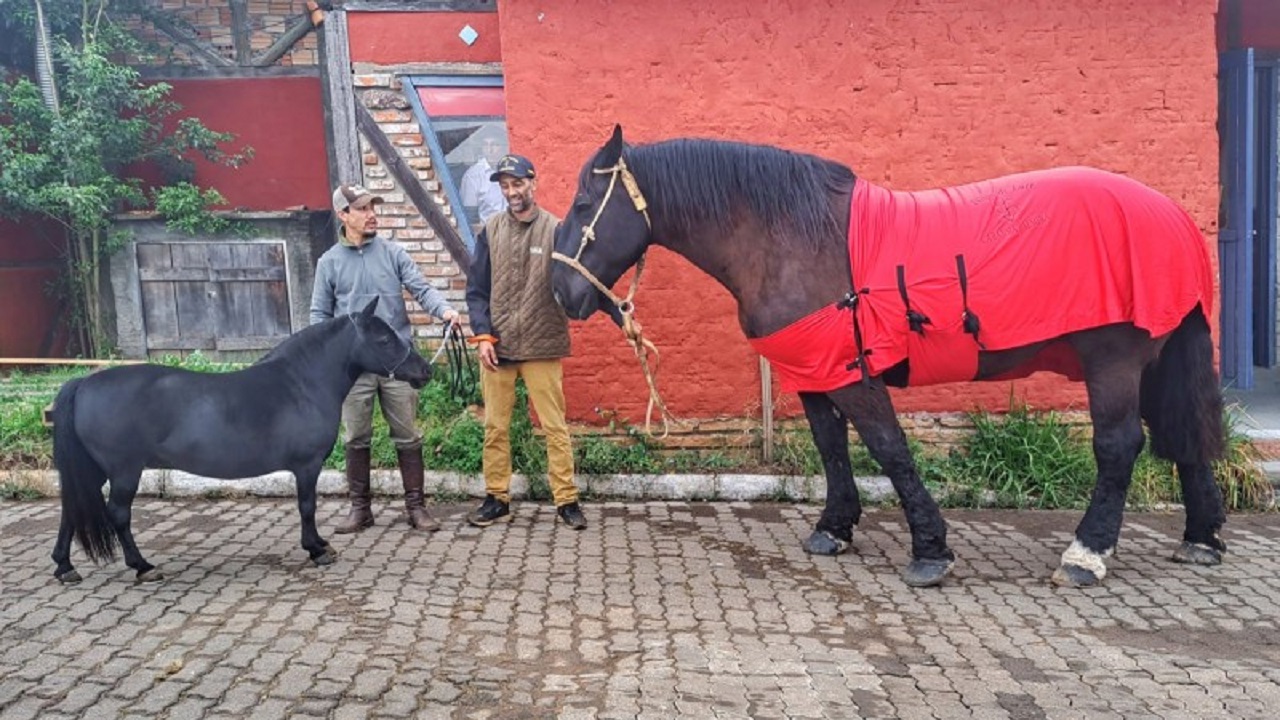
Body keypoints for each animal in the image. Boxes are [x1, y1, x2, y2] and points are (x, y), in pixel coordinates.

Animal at [49, 297, 432, 584]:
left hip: (96, 470)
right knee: (118, 514)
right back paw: (141, 566)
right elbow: (307, 506)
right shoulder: (307, 467)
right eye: (383, 340)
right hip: (124, 472)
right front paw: (316, 549)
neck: (301, 384)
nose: (425, 371)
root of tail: (83, 383)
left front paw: (321, 544)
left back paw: (65, 567)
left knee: (71, 509)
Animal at [552, 126, 1228, 586]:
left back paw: (1087, 554)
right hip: (1154, 362)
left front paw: (930, 549)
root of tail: (1170, 214)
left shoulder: (855, 375)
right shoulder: (815, 373)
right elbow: (832, 449)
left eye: (585, 206)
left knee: (1119, 447)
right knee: (1183, 436)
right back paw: (1201, 539)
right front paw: (834, 527)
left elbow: (888, 448)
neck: (790, 236)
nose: (561, 292)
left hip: (1112, 362)